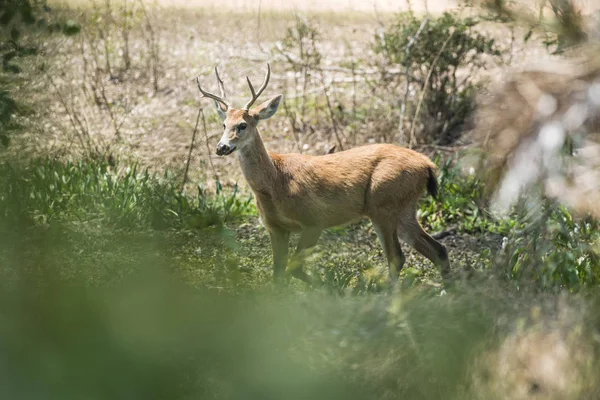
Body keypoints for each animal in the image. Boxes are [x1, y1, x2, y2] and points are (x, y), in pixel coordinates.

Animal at [197, 64, 450, 284]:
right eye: (224, 125)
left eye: (243, 125)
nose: (221, 147)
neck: (274, 183)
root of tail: (427, 164)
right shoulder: (275, 228)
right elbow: (278, 273)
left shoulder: (314, 220)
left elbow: (294, 268)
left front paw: (330, 290)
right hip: (404, 207)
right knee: (438, 249)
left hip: (383, 204)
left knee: (397, 257)